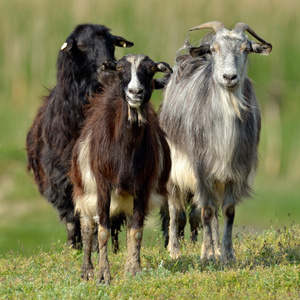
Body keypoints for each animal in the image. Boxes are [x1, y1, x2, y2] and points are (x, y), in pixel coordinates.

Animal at [25, 23, 134, 250]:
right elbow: (72, 217)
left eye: (112, 44)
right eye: (82, 45)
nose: (108, 66)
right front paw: (75, 247)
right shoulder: (62, 179)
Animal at [70, 54, 172, 286]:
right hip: (84, 192)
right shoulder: (102, 187)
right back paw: (86, 270)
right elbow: (102, 232)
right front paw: (103, 275)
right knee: (87, 226)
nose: (135, 92)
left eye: (151, 69)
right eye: (119, 69)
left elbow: (136, 231)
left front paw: (133, 270)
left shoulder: (143, 188)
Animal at [159, 21, 272, 262]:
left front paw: (227, 254)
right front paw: (206, 254)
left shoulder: (234, 171)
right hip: (174, 169)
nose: (229, 77)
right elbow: (206, 211)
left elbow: (227, 211)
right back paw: (175, 251)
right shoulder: (201, 170)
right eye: (214, 49)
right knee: (175, 206)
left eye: (246, 49)